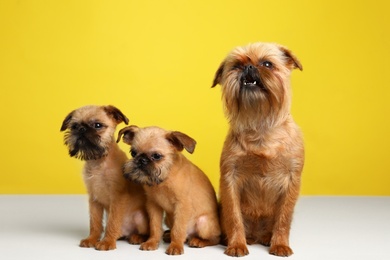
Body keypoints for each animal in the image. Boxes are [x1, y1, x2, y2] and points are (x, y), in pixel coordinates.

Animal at [60, 104, 149, 251]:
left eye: (97, 125)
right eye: (74, 126)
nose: (81, 129)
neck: (98, 162)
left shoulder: (117, 198)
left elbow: (113, 222)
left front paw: (107, 242)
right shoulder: (94, 200)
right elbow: (95, 222)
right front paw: (92, 239)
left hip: (140, 217)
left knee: (146, 231)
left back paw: (136, 237)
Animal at [116, 126, 221, 256]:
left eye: (156, 156)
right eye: (133, 153)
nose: (141, 160)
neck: (164, 179)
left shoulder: (182, 206)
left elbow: (178, 229)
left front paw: (175, 246)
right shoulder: (153, 206)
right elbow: (155, 226)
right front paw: (152, 242)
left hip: (203, 223)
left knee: (215, 239)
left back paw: (198, 241)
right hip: (168, 219)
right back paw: (167, 236)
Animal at [212, 42, 304, 256]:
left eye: (267, 64)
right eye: (236, 65)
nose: (248, 67)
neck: (260, 126)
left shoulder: (292, 180)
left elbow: (284, 218)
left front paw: (280, 245)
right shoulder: (230, 178)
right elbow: (234, 216)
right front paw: (237, 245)